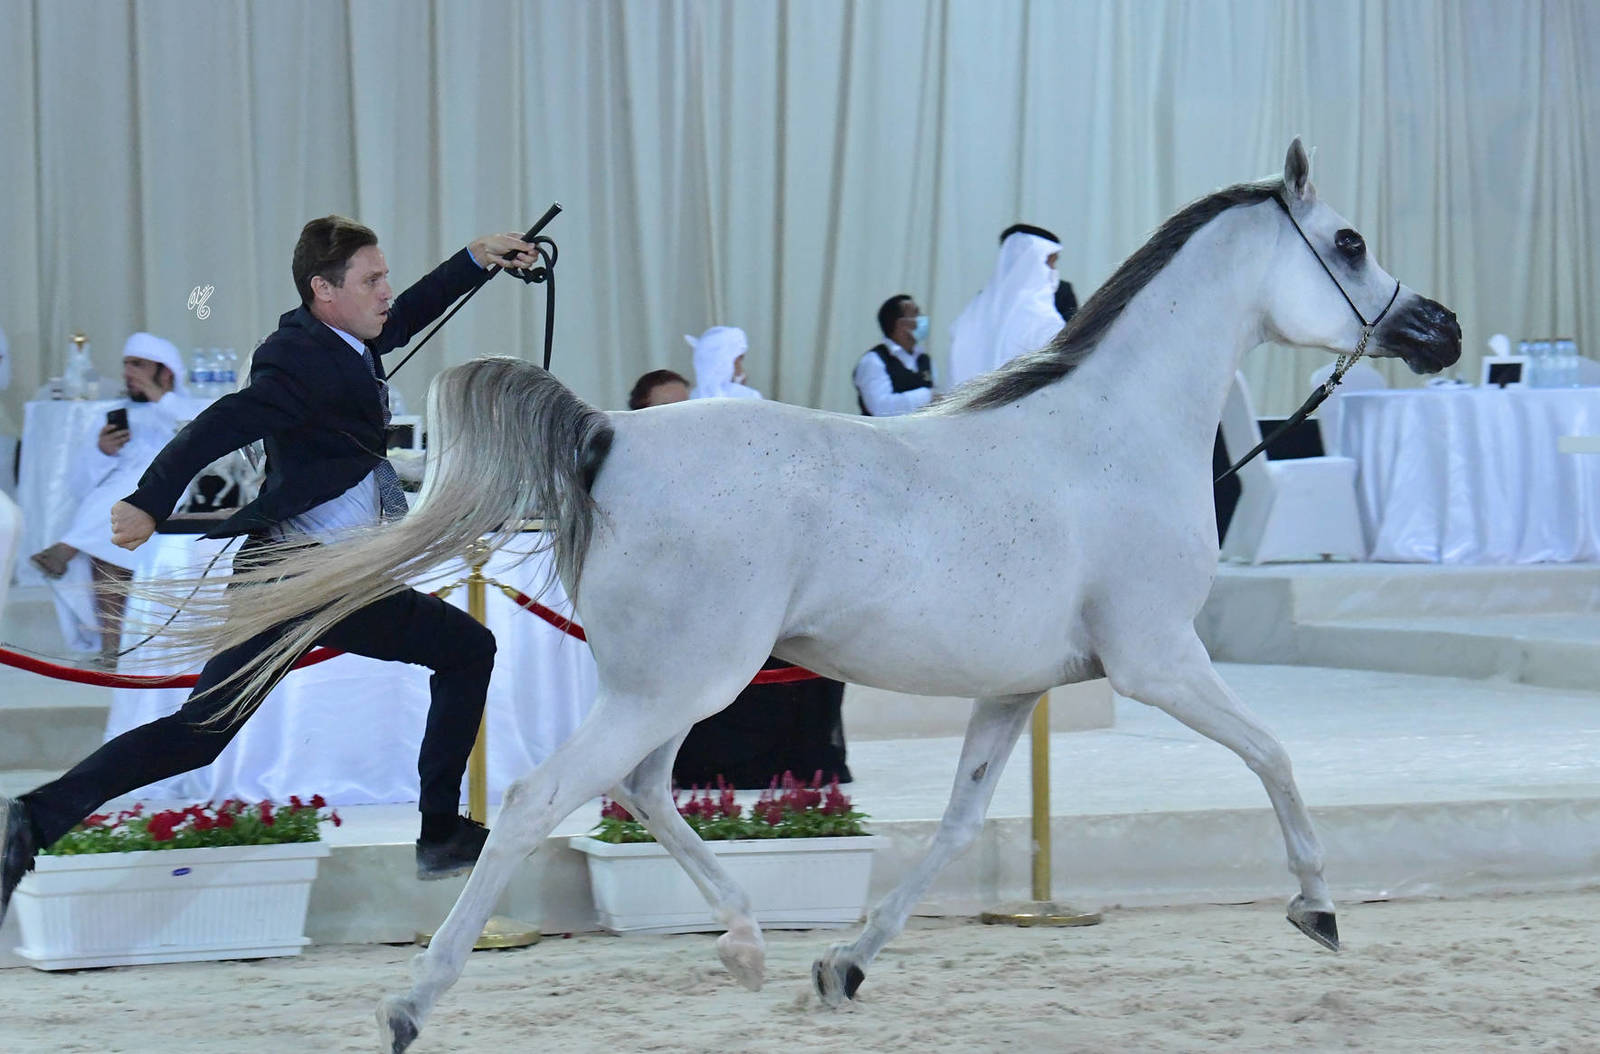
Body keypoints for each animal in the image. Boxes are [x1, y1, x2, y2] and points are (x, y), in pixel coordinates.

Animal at [170, 139, 1460, 1051]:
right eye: (1348, 240)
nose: (1438, 329)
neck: (1110, 438)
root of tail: (607, 433)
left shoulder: (1014, 691)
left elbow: (955, 827)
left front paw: (843, 962)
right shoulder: (1158, 661)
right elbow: (1274, 752)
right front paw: (1316, 907)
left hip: (671, 686)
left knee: (641, 789)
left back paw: (744, 941)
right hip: (678, 682)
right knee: (545, 798)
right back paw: (413, 1000)